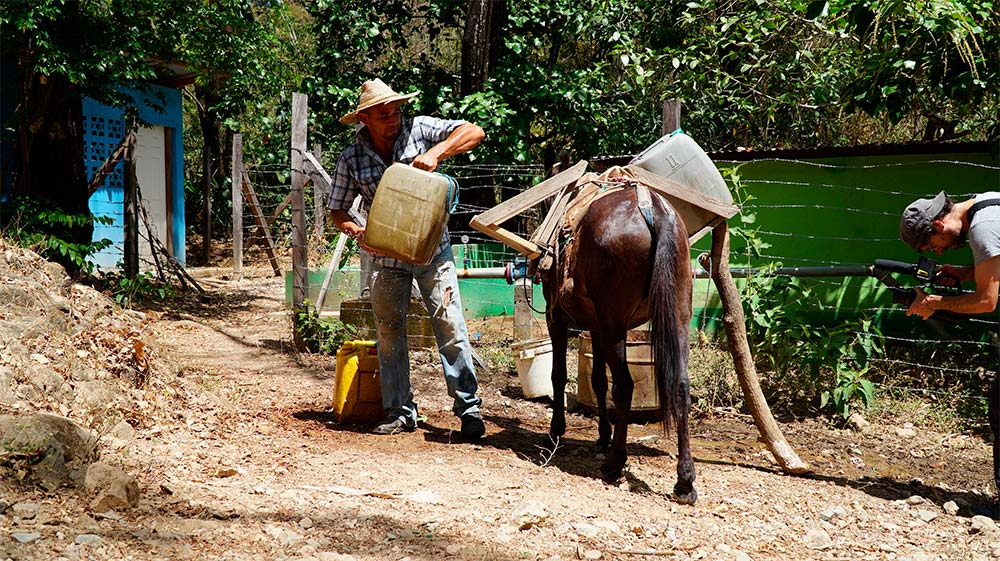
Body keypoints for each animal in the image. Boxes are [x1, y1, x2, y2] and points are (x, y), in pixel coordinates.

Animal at [541, 178, 696, 504]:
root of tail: (655, 209)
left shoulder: (557, 318)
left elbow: (559, 375)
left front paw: (556, 432)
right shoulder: (596, 327)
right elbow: (598, 381)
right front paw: (603, 436)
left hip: (615, 325)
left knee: (624, 385)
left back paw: (615, 464)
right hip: (678, 316)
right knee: (680, 386)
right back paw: (685, 481)